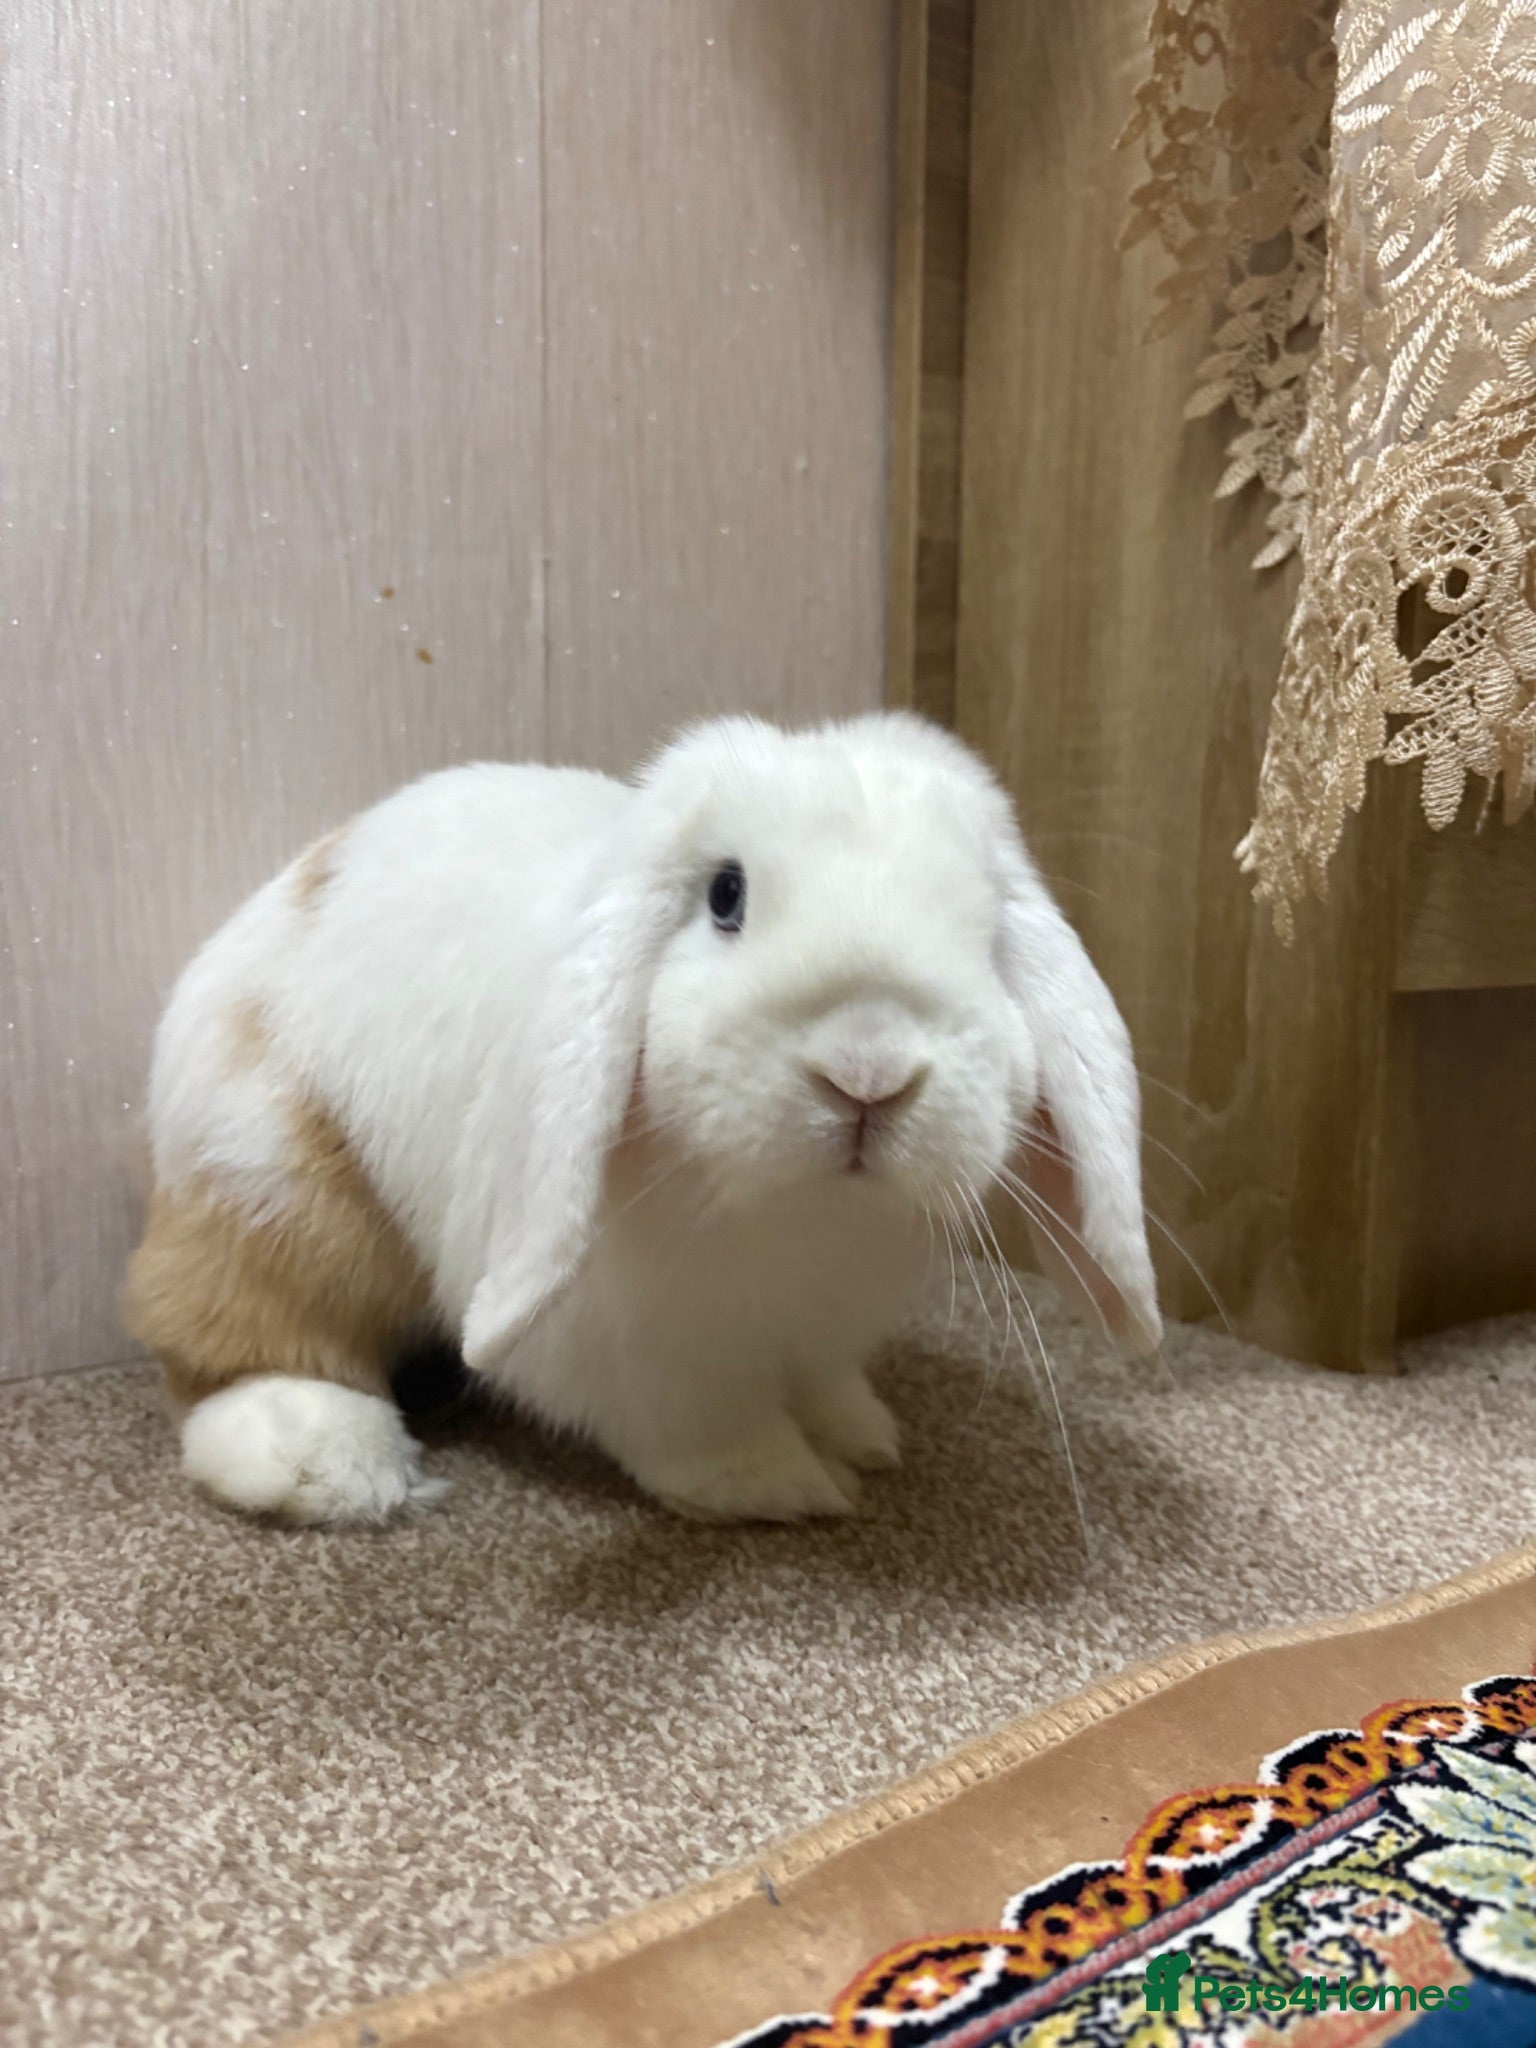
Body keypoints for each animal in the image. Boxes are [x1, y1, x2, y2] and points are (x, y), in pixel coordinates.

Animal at [124, 711, 1161, 1527]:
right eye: (726, 896)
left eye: (986, 934)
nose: (868, 1072)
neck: (803, 1213)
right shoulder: (651, 1358)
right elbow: (705, 1436)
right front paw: (785, 1487)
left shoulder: (820, 1337)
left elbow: (828, 1390)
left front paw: (864, 1439)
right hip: (275, 1181)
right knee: (225, 1333)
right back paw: (324, 1462)